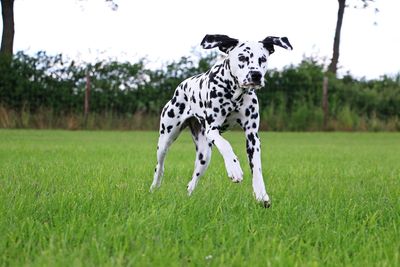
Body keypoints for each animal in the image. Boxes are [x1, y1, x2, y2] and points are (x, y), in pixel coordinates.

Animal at [152, 33, 292, 208]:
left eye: (263, 59)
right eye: (242, 57)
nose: (256, 75)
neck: (235, 93)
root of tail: (180, 87)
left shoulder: (252, 137)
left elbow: (257, 168)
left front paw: (261, 195)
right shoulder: (212, 129)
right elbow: (226, 144)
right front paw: (234, 168)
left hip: (204, 156)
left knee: (192, 181)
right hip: (165, 139)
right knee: (160, 166)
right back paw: (154, 187)